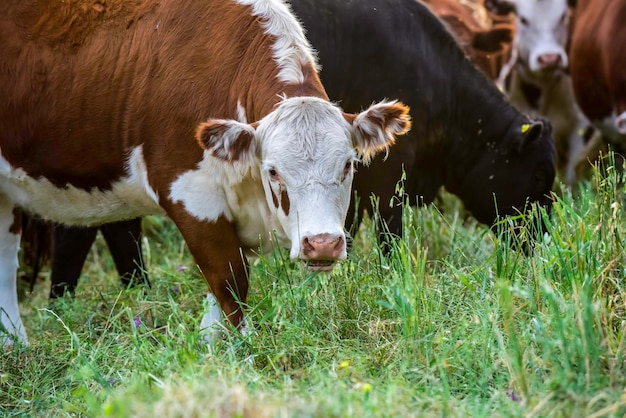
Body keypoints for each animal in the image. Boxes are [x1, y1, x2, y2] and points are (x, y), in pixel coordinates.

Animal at [0, 0, 410, 346]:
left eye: (348, 164)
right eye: (273, 171)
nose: (322, 243)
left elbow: (223, 292)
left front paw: (212, 346)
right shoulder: (189, 193)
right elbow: (229, 280)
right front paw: (245, 349)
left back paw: (15, 345)